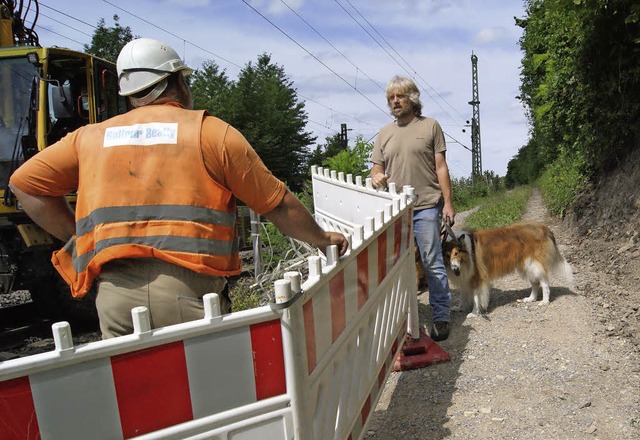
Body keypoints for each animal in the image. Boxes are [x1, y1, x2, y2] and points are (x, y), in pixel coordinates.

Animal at [442, 222, 572, 318]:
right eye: (447, 255)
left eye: (456, 253)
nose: (455, 268)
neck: (468, 254)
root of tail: (543, 227)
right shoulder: (465, 279)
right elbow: (463, 295)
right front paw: (459, 307)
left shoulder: (476, 278)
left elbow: (476, 298)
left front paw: (474, 313)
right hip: (525, 266)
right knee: (535, 283)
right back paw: (530, 299)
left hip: (533, 264)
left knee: (544, 283)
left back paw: (544, 301)